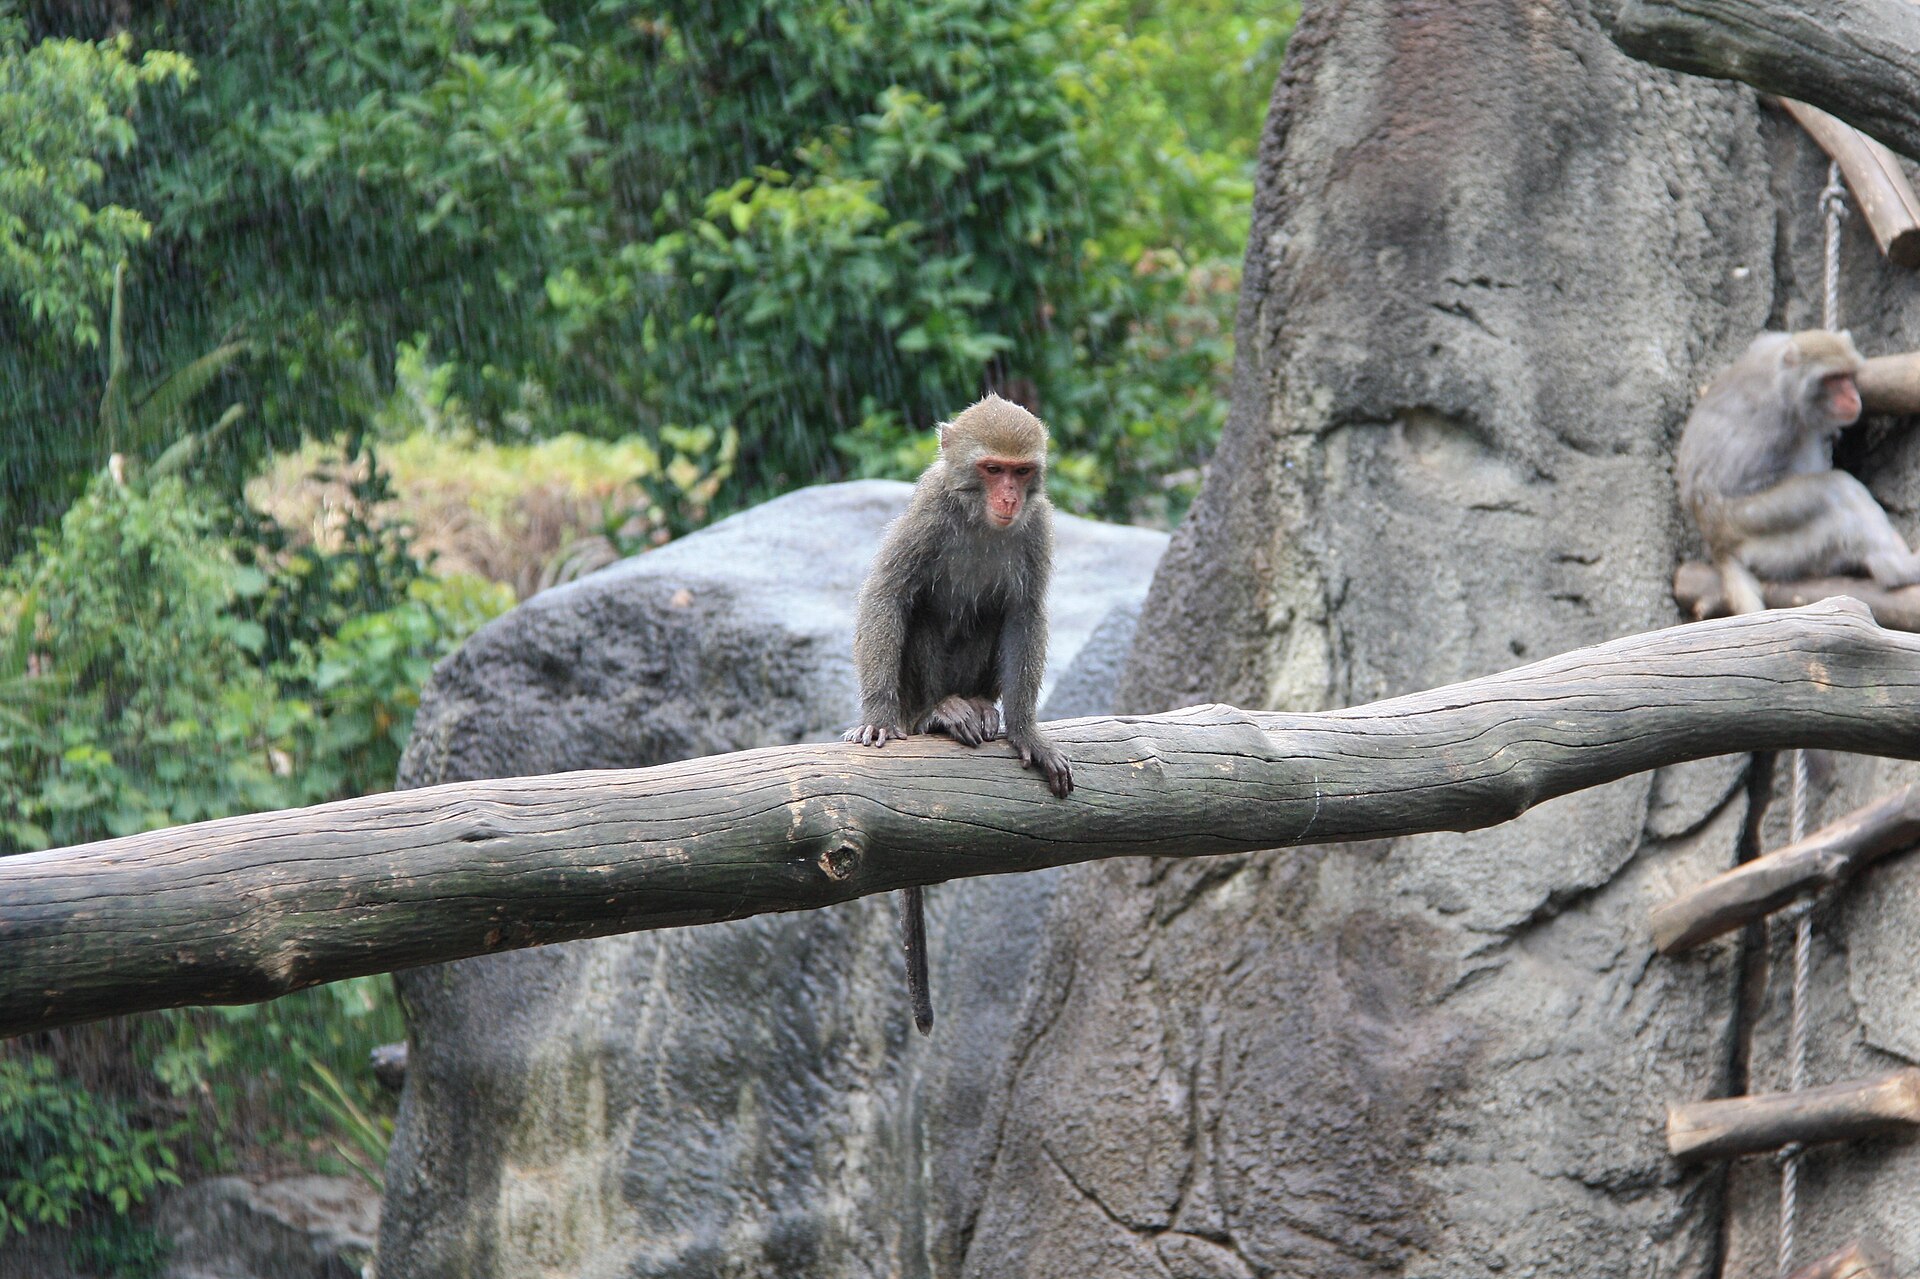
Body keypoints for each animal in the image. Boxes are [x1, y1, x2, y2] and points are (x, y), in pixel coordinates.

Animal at [844, 393, 1073, 1034]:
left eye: (1020, 472)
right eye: (992, 469)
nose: (1008, 500)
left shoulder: (1037, 529)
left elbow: (1024, 613)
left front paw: (1026, 731)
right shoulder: (929, 511)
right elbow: (889, 594)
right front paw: (876, 714)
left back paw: (979, 706)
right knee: (922, 608)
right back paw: (938, 714)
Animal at [1675, 329, 1920, 616]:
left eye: (1848, 376)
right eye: (1833, 379)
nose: (1852, 397)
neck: (1786, 383)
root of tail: (1718, 547)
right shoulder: (1770, 422)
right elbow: (1735, 486)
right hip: (1766, 545)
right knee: (1835, 490)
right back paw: (1898, 569)